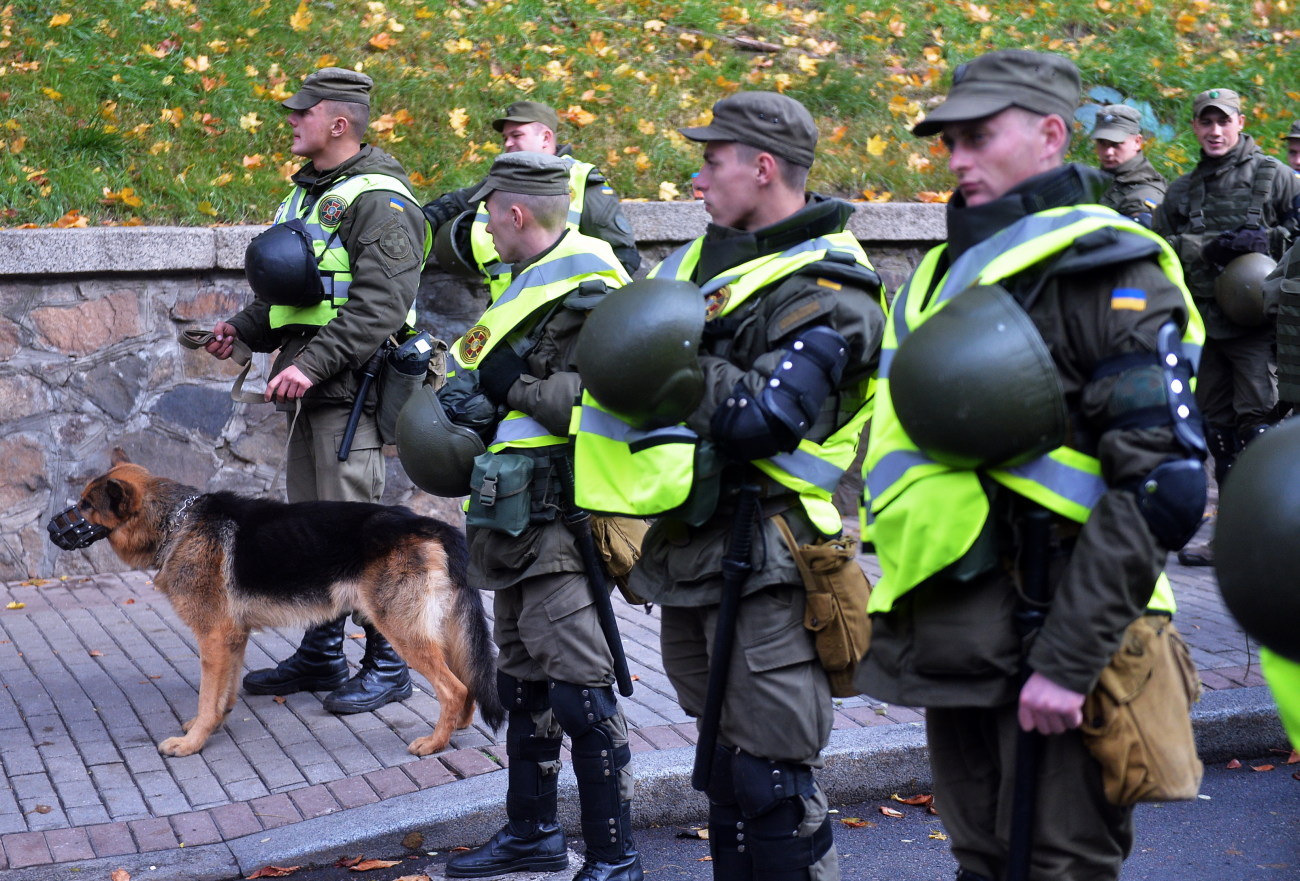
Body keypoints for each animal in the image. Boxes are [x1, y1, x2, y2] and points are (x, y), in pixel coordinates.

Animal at [48, 452, 501, 764]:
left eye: (86, 506)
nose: (51, 528)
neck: (178, 521)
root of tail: (430, 523)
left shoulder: (212, 639)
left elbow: (206, 696)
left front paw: (193, 743)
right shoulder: (232, 638)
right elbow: (224, 693)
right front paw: (212, 725)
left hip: (402, 629)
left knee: (453, 688)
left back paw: (434, 742)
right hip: (436, 631)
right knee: (467, 685)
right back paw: (458, 726)